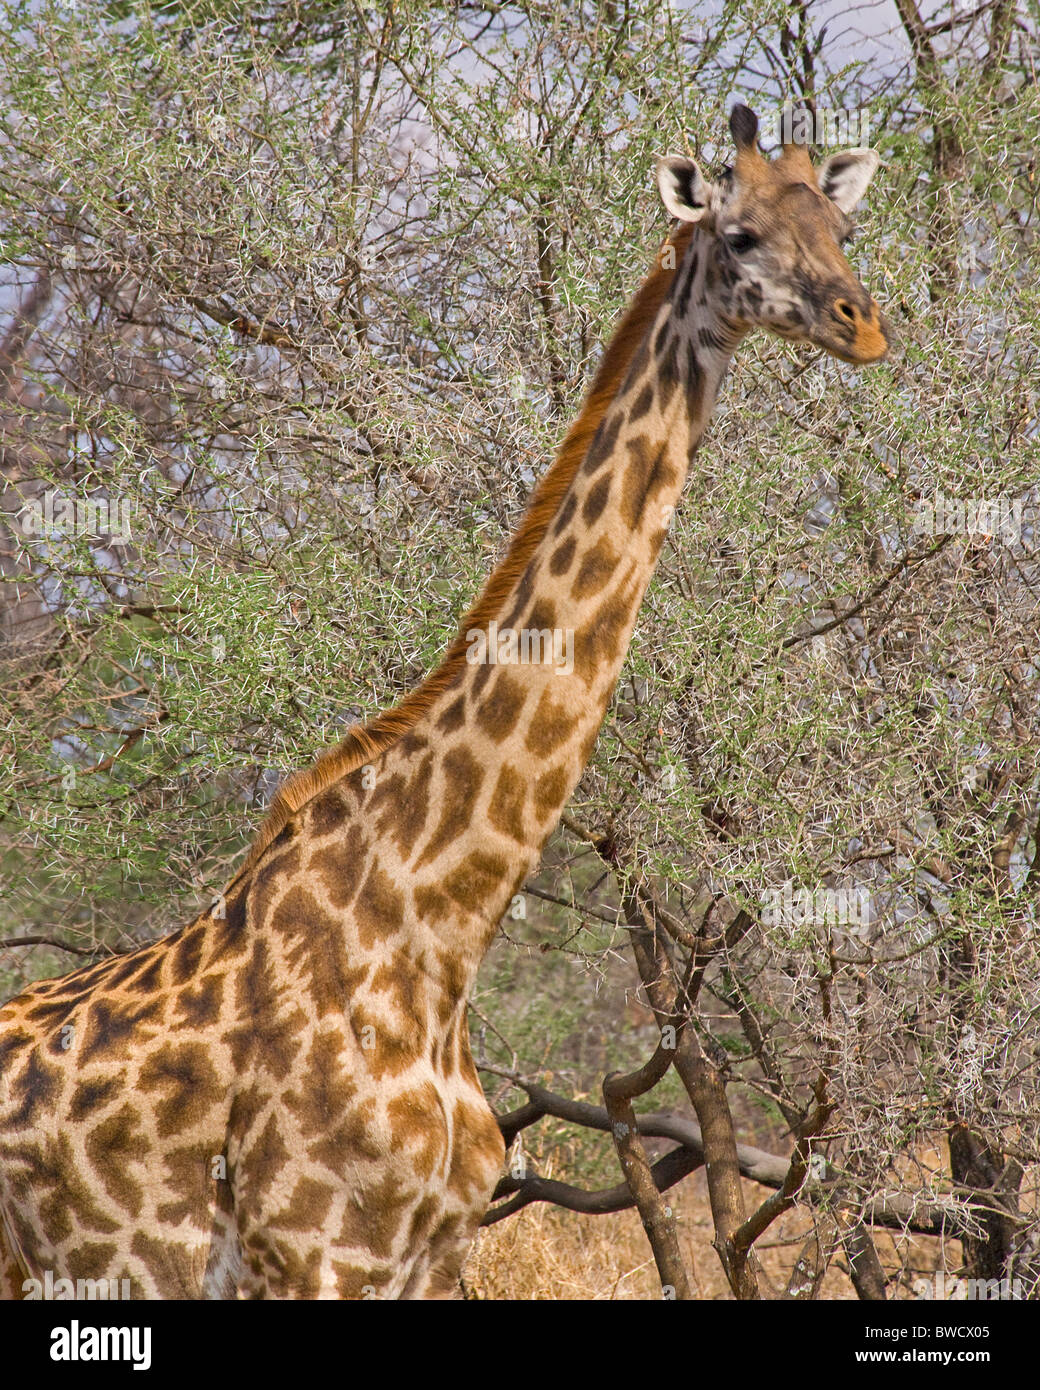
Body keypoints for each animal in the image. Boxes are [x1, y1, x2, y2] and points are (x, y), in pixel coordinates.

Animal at [0, 106, 887, 1300]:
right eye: (740, 234)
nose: (862, 325)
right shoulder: (315, 1254)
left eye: (841, 228)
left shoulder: (432, 1255)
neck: (437, 929)